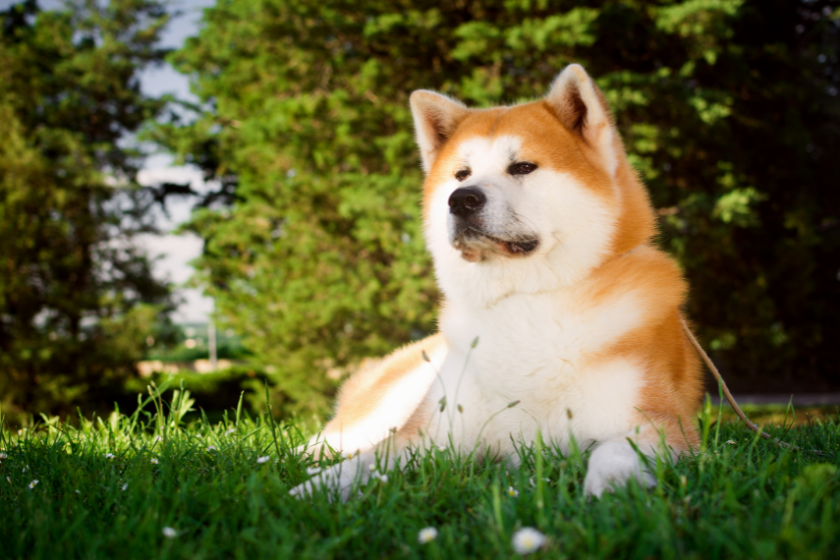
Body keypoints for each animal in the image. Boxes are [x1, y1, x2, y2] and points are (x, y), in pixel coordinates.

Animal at [288, 62, 704, 498]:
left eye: (522, 167)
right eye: (461, 174)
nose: (461, 199)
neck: (524, 300)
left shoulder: (661, 423)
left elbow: (614, 453)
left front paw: (610, 491)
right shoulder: (422, 435)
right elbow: (358, 465)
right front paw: (311, 492)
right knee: (324, 445)